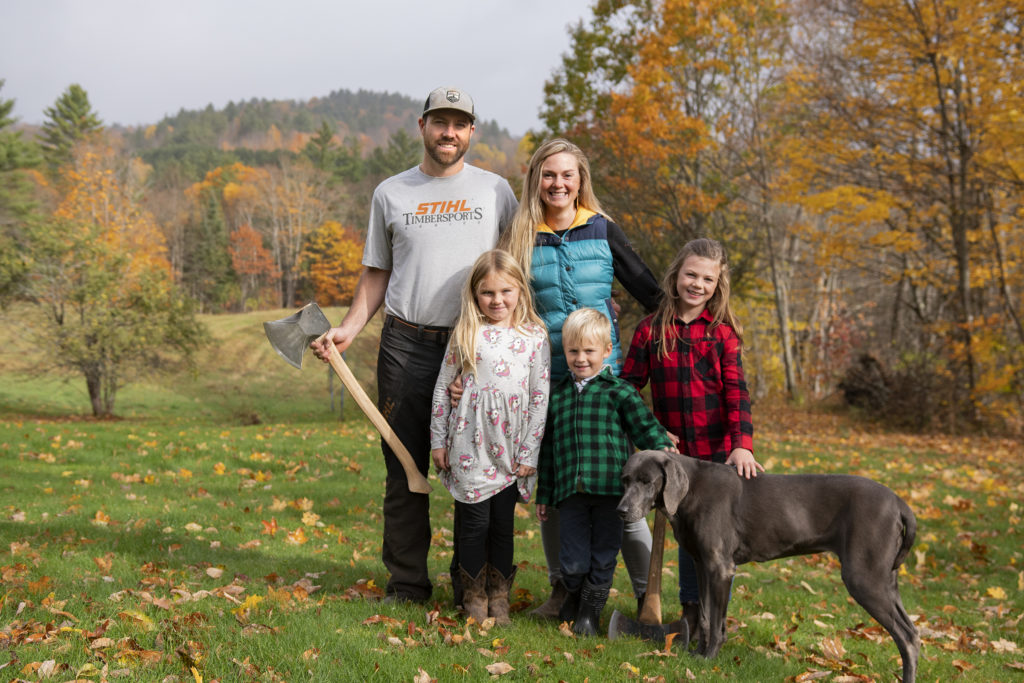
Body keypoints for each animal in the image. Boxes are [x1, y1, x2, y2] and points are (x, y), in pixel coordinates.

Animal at [614, 450, 921, 679]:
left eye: (647, 481)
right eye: (625, 480)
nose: (621, 511)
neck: (692, 490)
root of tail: (899, 502)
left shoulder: (721, 568)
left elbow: (716, 623)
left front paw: (709, 659)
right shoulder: (702, 566)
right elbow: (704, 615)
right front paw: (697, 654)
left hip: (864, 578)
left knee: (905, 637)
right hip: (885, 580)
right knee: (913, 634)